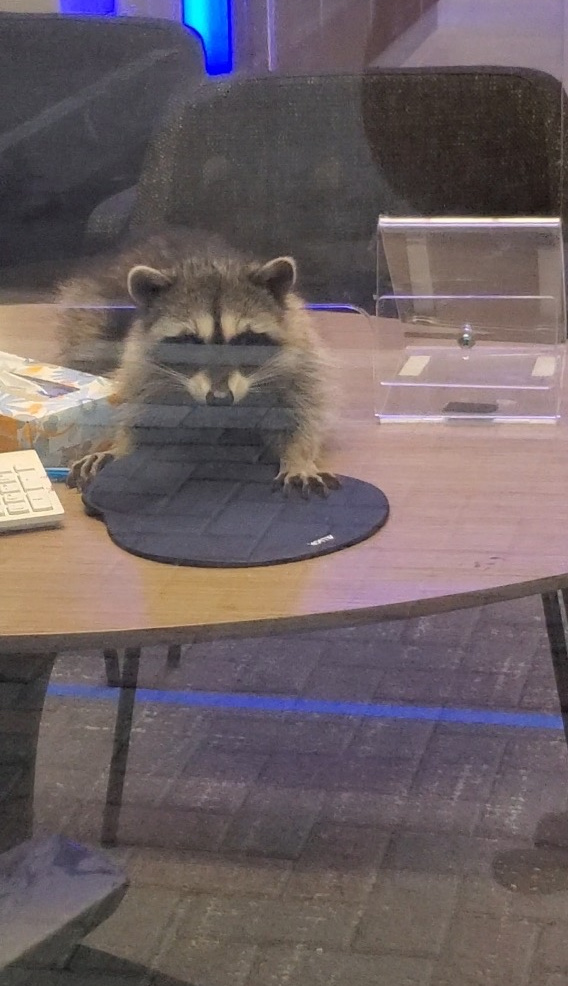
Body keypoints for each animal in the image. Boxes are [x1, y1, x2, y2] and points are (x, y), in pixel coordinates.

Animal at [58, 227, 338, 496]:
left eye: (244, 340)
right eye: (190, 341)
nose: (220, 398)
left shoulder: (299, 351)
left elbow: (303, 411)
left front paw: (299, 457)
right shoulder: (139, 363)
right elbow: (136, 412)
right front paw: (120, 446)